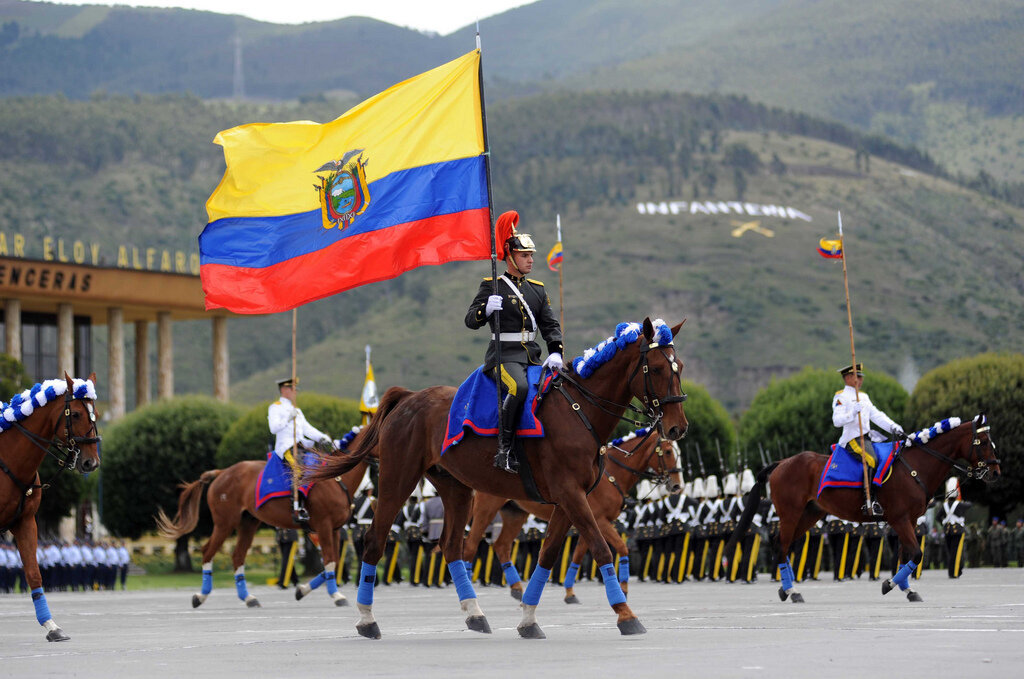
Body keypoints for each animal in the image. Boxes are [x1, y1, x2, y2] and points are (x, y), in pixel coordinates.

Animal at [0, 372, 101, 643]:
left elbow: (34, 574)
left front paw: (52, 626)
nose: (91, 462)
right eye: (75, 414)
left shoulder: (25, 522)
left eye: (95, 412)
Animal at [157, 446, 370, 610]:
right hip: (225, 522)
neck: (337, 478)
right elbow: (331, 560)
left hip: (248, 522)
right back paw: (201, 596)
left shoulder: (333, 529)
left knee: (238, 556)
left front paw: (302, 590)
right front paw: (336, 595)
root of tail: (221, 472)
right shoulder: (324, 525)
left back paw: (248, 598)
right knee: (208, 551)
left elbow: (332, 561)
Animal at [464, 430, 679, 606]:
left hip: (515, 514)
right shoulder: (599, 520)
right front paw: (623, 590)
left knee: (501, 545)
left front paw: (569, 592)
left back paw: (517, 589)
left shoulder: (589, 522)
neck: (612, 475)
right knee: (471, 543)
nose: (676, 485)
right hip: (486, 508)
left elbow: (578, 555)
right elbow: (621, 547)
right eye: (668, 451)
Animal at [729, 413, 999, 606]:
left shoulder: (910, 521)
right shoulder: (900, 519)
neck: (914, 467)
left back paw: (785, 589)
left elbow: (906, 555)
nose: (995, 472)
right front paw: (889, 585)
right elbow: (916, 554)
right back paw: (792, 591)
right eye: (984, 442)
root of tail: (781, 463)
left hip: (808, 514)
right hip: (790, 514)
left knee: (781, 545)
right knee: (782, 545)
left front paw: (907, 589)